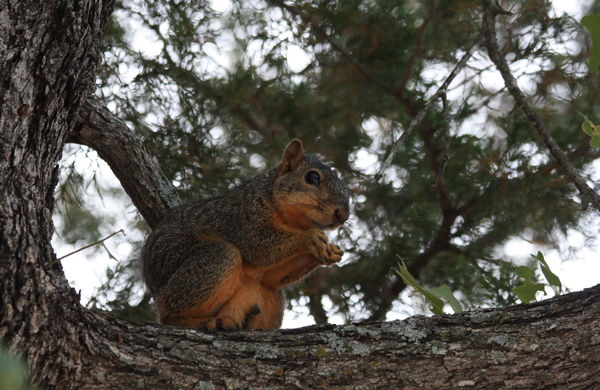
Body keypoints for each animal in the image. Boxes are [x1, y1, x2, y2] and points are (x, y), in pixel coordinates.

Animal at [142, 139, 352, 330]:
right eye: (313, 177)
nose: (343, 215)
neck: (291, 221)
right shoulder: (243, 218)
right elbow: (258, 247)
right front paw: (311, 237)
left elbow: (272, 277)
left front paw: (329, 252)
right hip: (211, 262)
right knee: (170, 316)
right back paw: (204, 322)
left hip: (270, 297)